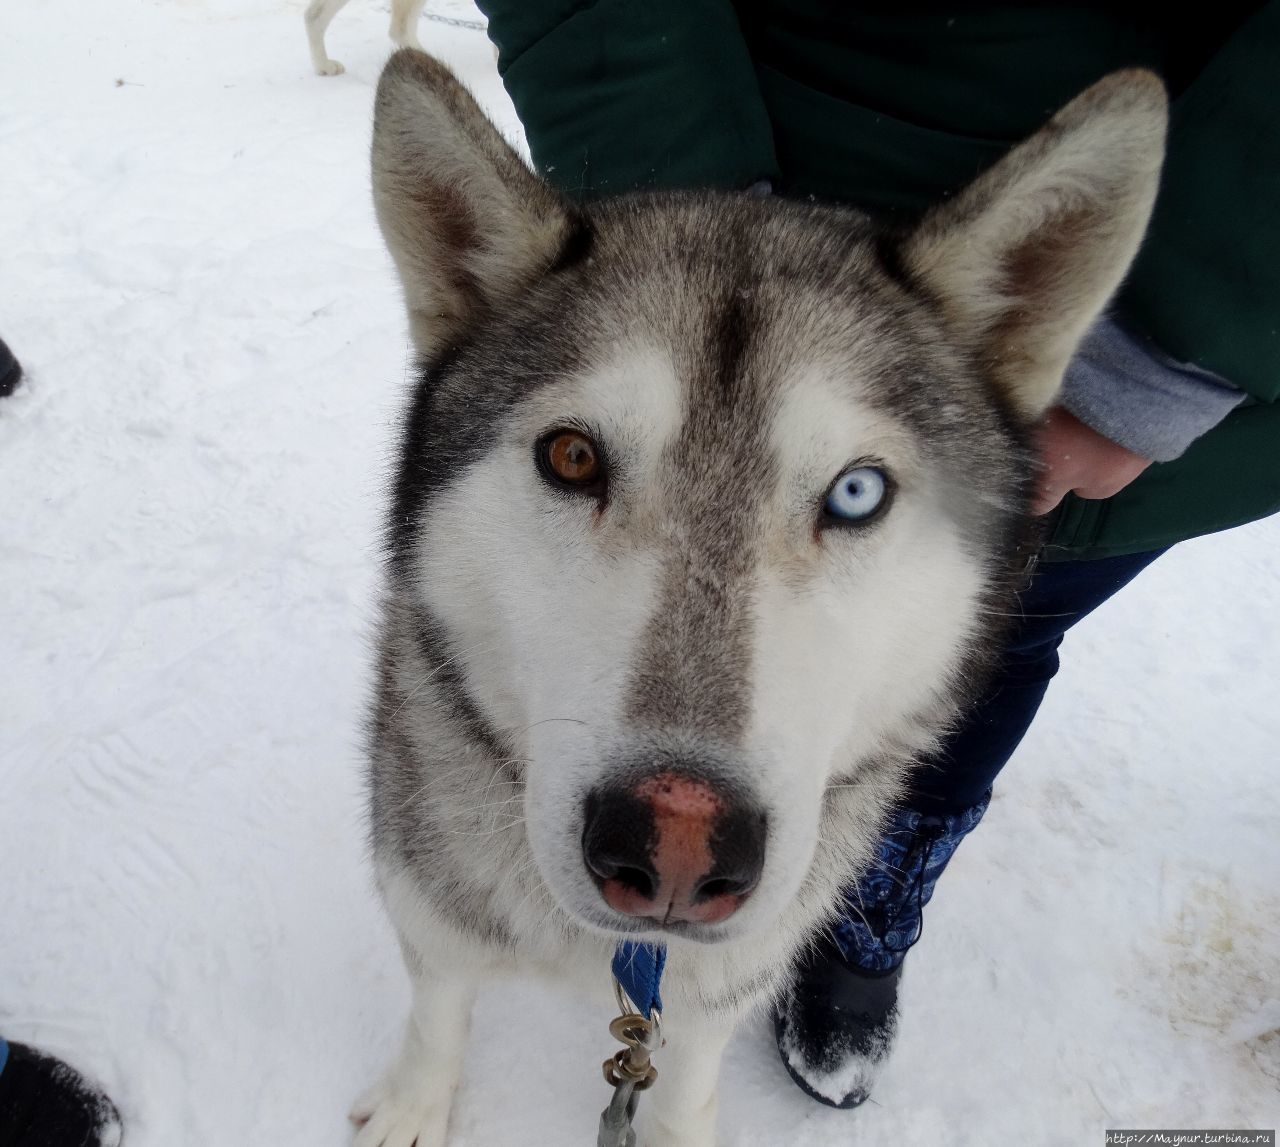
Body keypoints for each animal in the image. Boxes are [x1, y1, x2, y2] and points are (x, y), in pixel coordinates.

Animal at [353, 49, 1172, 1141]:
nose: (675, 845)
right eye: (571, 457)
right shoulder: (427, 889)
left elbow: (684, 1079)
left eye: (857, 493)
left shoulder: (729, 974)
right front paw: (414, 1103)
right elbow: (438, 1003)